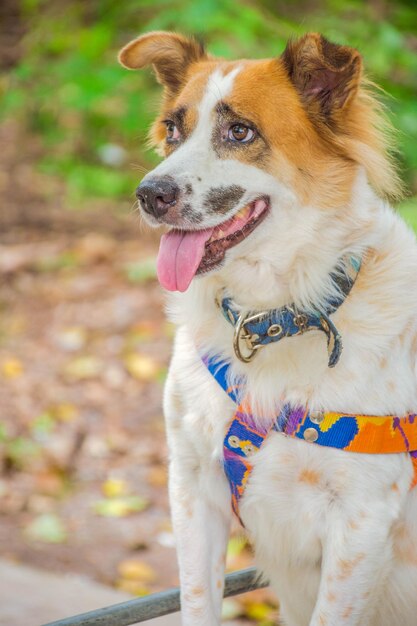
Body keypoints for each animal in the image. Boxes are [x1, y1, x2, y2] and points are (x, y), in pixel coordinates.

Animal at [117, 30, 416, 624]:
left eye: (240, 131)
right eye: (172, 129)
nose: (149, 195)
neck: (276, 316)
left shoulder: (362, 527)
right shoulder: (193, 485)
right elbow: (197, 601)